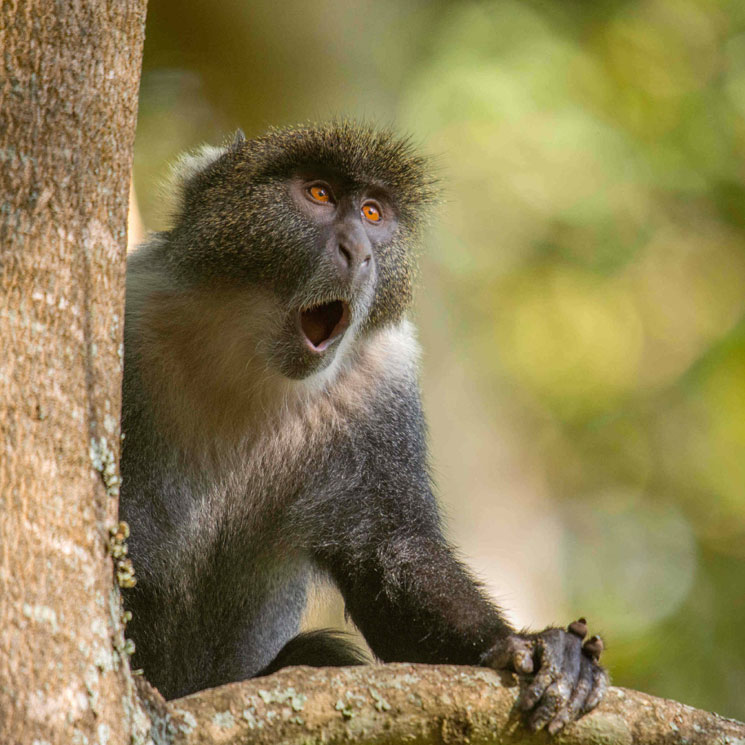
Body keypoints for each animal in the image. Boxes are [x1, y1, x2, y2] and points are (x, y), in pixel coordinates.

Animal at [119, 123, 608, 732]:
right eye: (320, 194)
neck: (247, 357)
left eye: (374, 213)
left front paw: (542, 649)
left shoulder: (381, 385)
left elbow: (388, 552)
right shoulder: (133, 315)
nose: (360, 251)